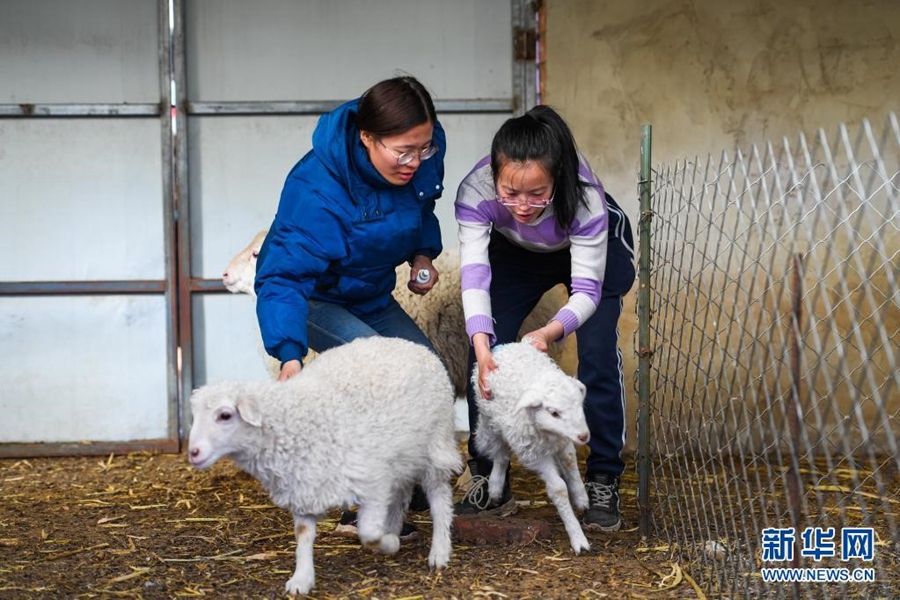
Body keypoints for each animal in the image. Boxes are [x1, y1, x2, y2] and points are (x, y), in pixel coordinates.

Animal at [185, 338, 460, 596]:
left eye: (225, 415)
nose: (193, 453)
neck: (300, 421)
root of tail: (416, 346)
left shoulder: (372, 481)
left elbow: (369, 534)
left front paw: (389, 543)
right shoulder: (302, 485)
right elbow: (303, 535)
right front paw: (301, 579)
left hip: (435, 444)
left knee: (439, 499)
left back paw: (439, 550)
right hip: (402, 458)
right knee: (401, 494)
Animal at [474, 340, 596, 556]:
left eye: (579, 405)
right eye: (554, 413)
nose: (584, 436)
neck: (548, 434)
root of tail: (507, 346)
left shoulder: (563, 442)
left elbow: (570, 463)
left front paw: (581, 498)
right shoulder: (534, 455)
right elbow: (558, 489)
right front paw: (578, 538)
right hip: (493, 421)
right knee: (501, 454)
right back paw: (495, 487)